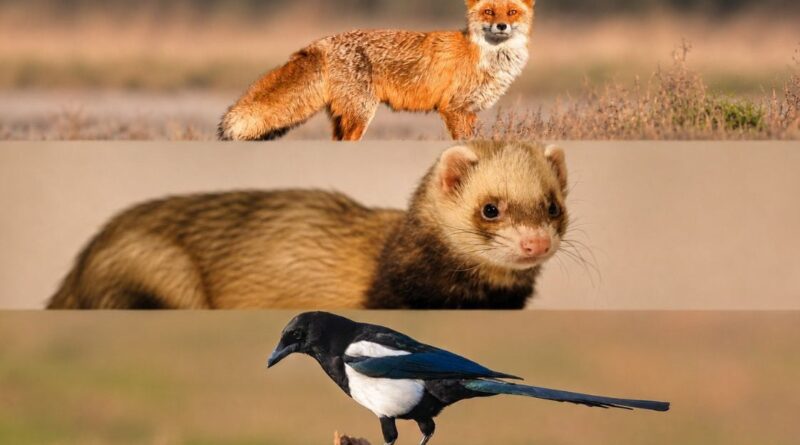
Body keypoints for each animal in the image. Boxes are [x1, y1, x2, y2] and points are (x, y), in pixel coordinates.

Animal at [218, 0, 535, 141]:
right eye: (489, 12)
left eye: (512, 12)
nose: (502, 26)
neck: (485, 57)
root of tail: (323, 41)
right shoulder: (454, 109)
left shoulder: (469, 112)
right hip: (362, 114)